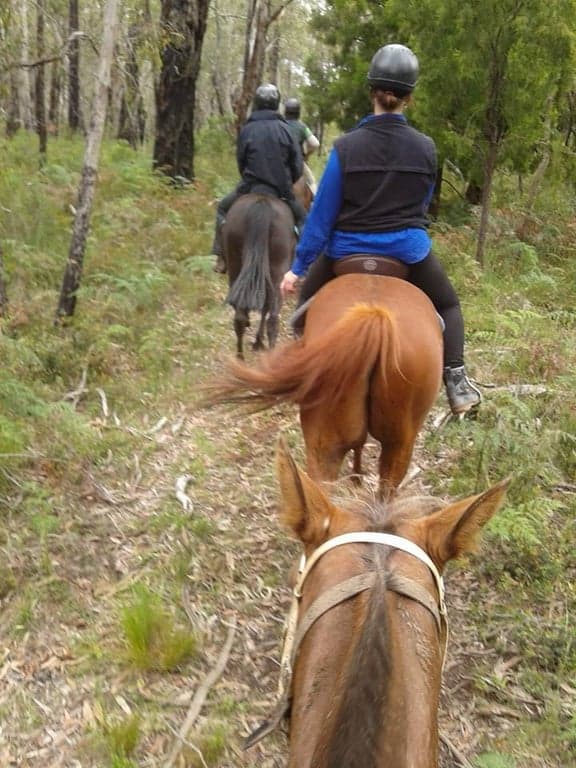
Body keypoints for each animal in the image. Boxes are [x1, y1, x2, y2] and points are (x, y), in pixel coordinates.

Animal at [223, 193, 296, 359]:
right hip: (276, 272)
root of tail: (261, 204)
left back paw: (240, 357)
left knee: (240, 316)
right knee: (272, 318)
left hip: (235, 264)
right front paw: (258, 342)